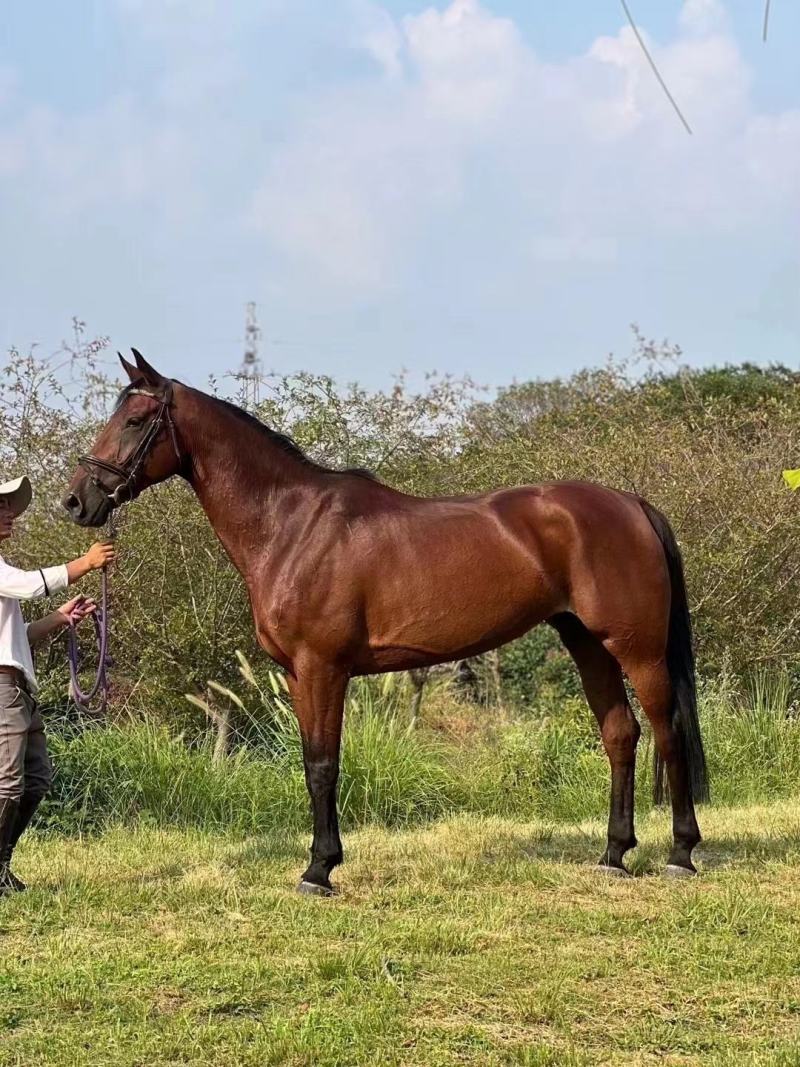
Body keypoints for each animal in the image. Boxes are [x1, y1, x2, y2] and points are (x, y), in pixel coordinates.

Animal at [63, 350, 708, 894]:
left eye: (136, 418)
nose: (75, 501)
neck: (292, 524)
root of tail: (632, 504)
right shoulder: (298, 675)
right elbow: (311, 761)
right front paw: (321, 861)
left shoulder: (323, 668)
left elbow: (324, 764)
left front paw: (319, 870)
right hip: (587, 643)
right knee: (620, 733)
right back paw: (613, 855)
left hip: (637, 649)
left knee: (667, 732)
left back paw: (680, 855)